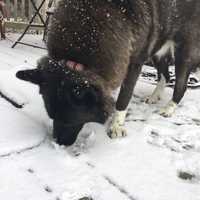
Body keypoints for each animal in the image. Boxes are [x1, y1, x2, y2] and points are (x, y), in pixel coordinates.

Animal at [16, 0, 200, 145]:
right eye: (52, 117)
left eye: (70, 120)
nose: (59, 143)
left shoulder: (134, 64)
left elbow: (123, 98)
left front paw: (117, 126)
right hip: (158, 50)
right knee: (166, 76)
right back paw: (155, 96)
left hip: (182, 52)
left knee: (180, 85)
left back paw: (169, 108)